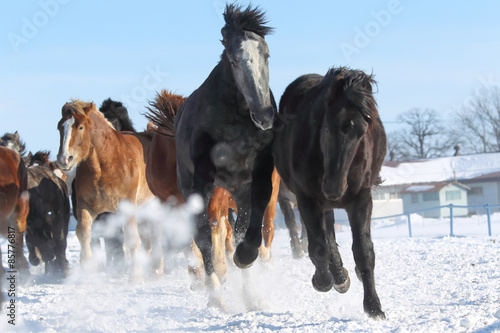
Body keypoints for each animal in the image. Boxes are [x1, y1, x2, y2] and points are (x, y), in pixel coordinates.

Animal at [56, 99, 158, 280]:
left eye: (80, 127)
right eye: (60, 127)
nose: (64, 159)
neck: (105, 166)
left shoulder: (127, 207)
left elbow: (130, 237)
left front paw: (135, 277)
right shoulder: (86, 208)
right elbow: (84, 234)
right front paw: (88, 272)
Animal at [175, 3, 278, 308]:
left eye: (266, 54)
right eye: (233, 60)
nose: (264, 116)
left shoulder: (256, 177)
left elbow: (250, 226)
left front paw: (244, 258)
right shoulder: (204, 178)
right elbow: (206, 237)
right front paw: (216, 291)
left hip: (237, 190)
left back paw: (249, 294)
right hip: (191, 186)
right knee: (203, 235)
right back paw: (215, 295)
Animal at [274, 67, 386, 320]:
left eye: (362, 133)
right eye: (325, 128)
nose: (334, 188)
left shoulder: (361, 199)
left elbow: (364, 251)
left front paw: (374, 306)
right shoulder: (306, 200)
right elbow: (318, 248)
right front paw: (323, 280)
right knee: (324, 239)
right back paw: (338, 277)